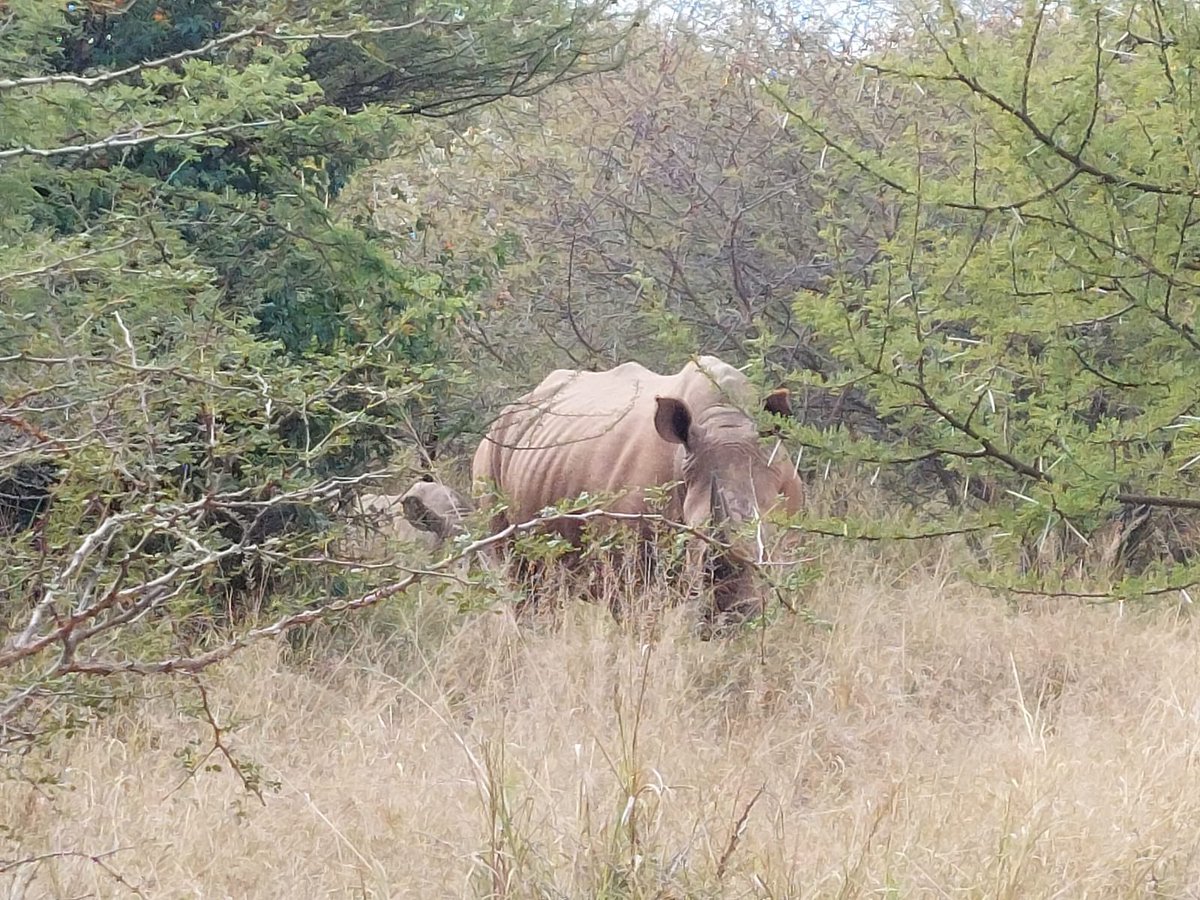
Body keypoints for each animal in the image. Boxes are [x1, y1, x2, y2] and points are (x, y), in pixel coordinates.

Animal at [471, 356, 805, 621]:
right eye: (693, 540)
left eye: (767, 546)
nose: (732, 617)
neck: (723, 418)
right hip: (491, 453)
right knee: (516, 577)